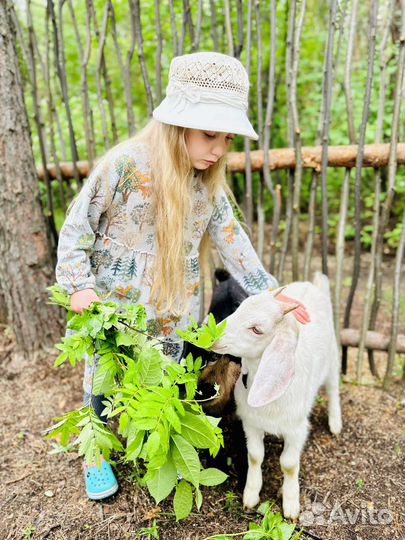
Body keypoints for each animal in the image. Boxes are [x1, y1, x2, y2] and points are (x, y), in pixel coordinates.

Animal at [211, 272, 340, 520]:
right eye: (240, 308)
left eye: (257, 329)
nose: (212, 333)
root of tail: (313, 284)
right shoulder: (251, 423)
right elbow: (254, 455)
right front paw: (251, 495)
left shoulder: (297, 429)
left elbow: (288, 464)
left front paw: (290, 505)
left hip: (332, 359)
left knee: (333, 388)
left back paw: (336, 423)